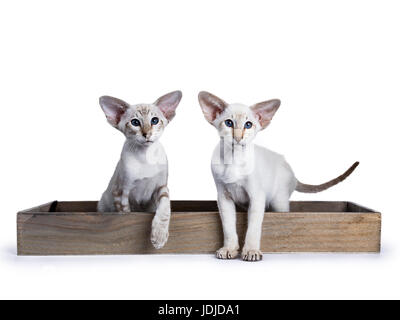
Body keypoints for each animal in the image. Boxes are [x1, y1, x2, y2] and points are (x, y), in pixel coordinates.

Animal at [97, 91, 182, 249]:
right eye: (135, 122)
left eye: (154, 120)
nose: (147, 134)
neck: (145, 156)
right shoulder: (121, 193)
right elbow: (127, 215)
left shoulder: (161, 187)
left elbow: (165, 208)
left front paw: (159, 236)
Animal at [198, 91, 358, 262]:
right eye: (229, 123)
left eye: (248, 125)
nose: (238, 137)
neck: (234, 159)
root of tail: (292, 173)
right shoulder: (223, 197)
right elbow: (228, 227)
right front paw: (229, 249)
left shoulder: (257, 196)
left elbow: (254, 227)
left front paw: (251, 251)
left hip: (279, 202)